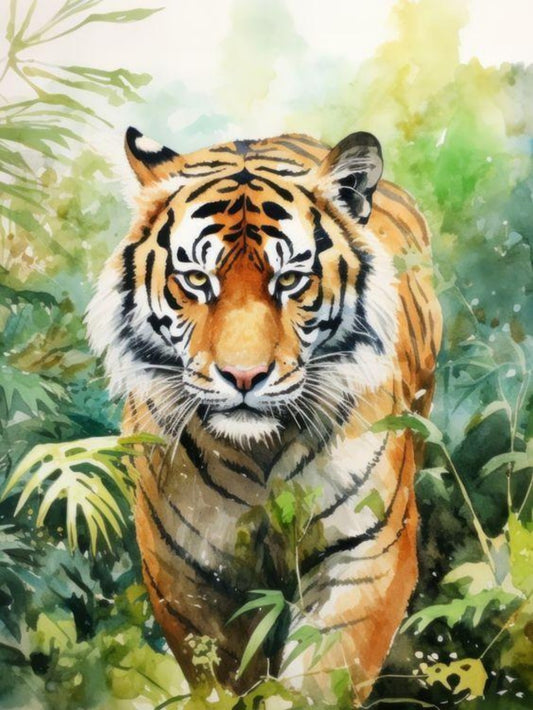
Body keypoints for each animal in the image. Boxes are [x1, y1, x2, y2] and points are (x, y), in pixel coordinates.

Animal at [86, 126, 442, 703]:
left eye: (291, 279)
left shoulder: (365, 556)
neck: (260, 453)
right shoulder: (188, 574)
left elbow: (321, 680)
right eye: (196, 278)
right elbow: (224, 680)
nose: (244, 376)